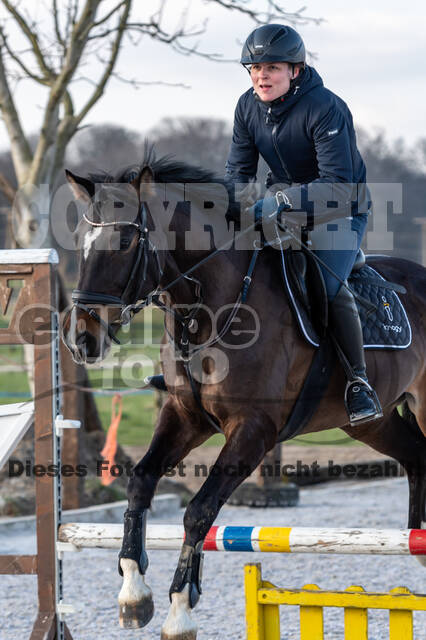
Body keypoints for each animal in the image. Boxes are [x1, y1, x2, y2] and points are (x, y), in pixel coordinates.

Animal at [61, 151, 424, 640]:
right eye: (79, 243)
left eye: (123, 242)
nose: (81, 339)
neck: (209, 311)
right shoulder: (185, 415)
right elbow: (140, 482)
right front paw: (134, 592)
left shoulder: (253, 430)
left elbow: (199, 510)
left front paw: (181, 608)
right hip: (373, 423)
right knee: (416, 456)